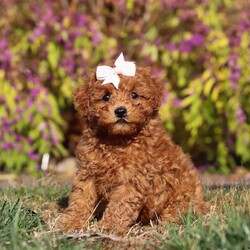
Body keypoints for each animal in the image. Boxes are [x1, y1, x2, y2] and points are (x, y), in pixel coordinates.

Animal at [60, 54, 205, 234]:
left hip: (183, 196)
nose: (120, 111)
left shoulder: (133, 179)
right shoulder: (87, 172)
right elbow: (80, 198)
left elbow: (120, 205)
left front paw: (109, 227)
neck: (117, 139)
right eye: (106, 97)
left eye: (134, 95)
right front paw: (72, 222)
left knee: (178, 211)